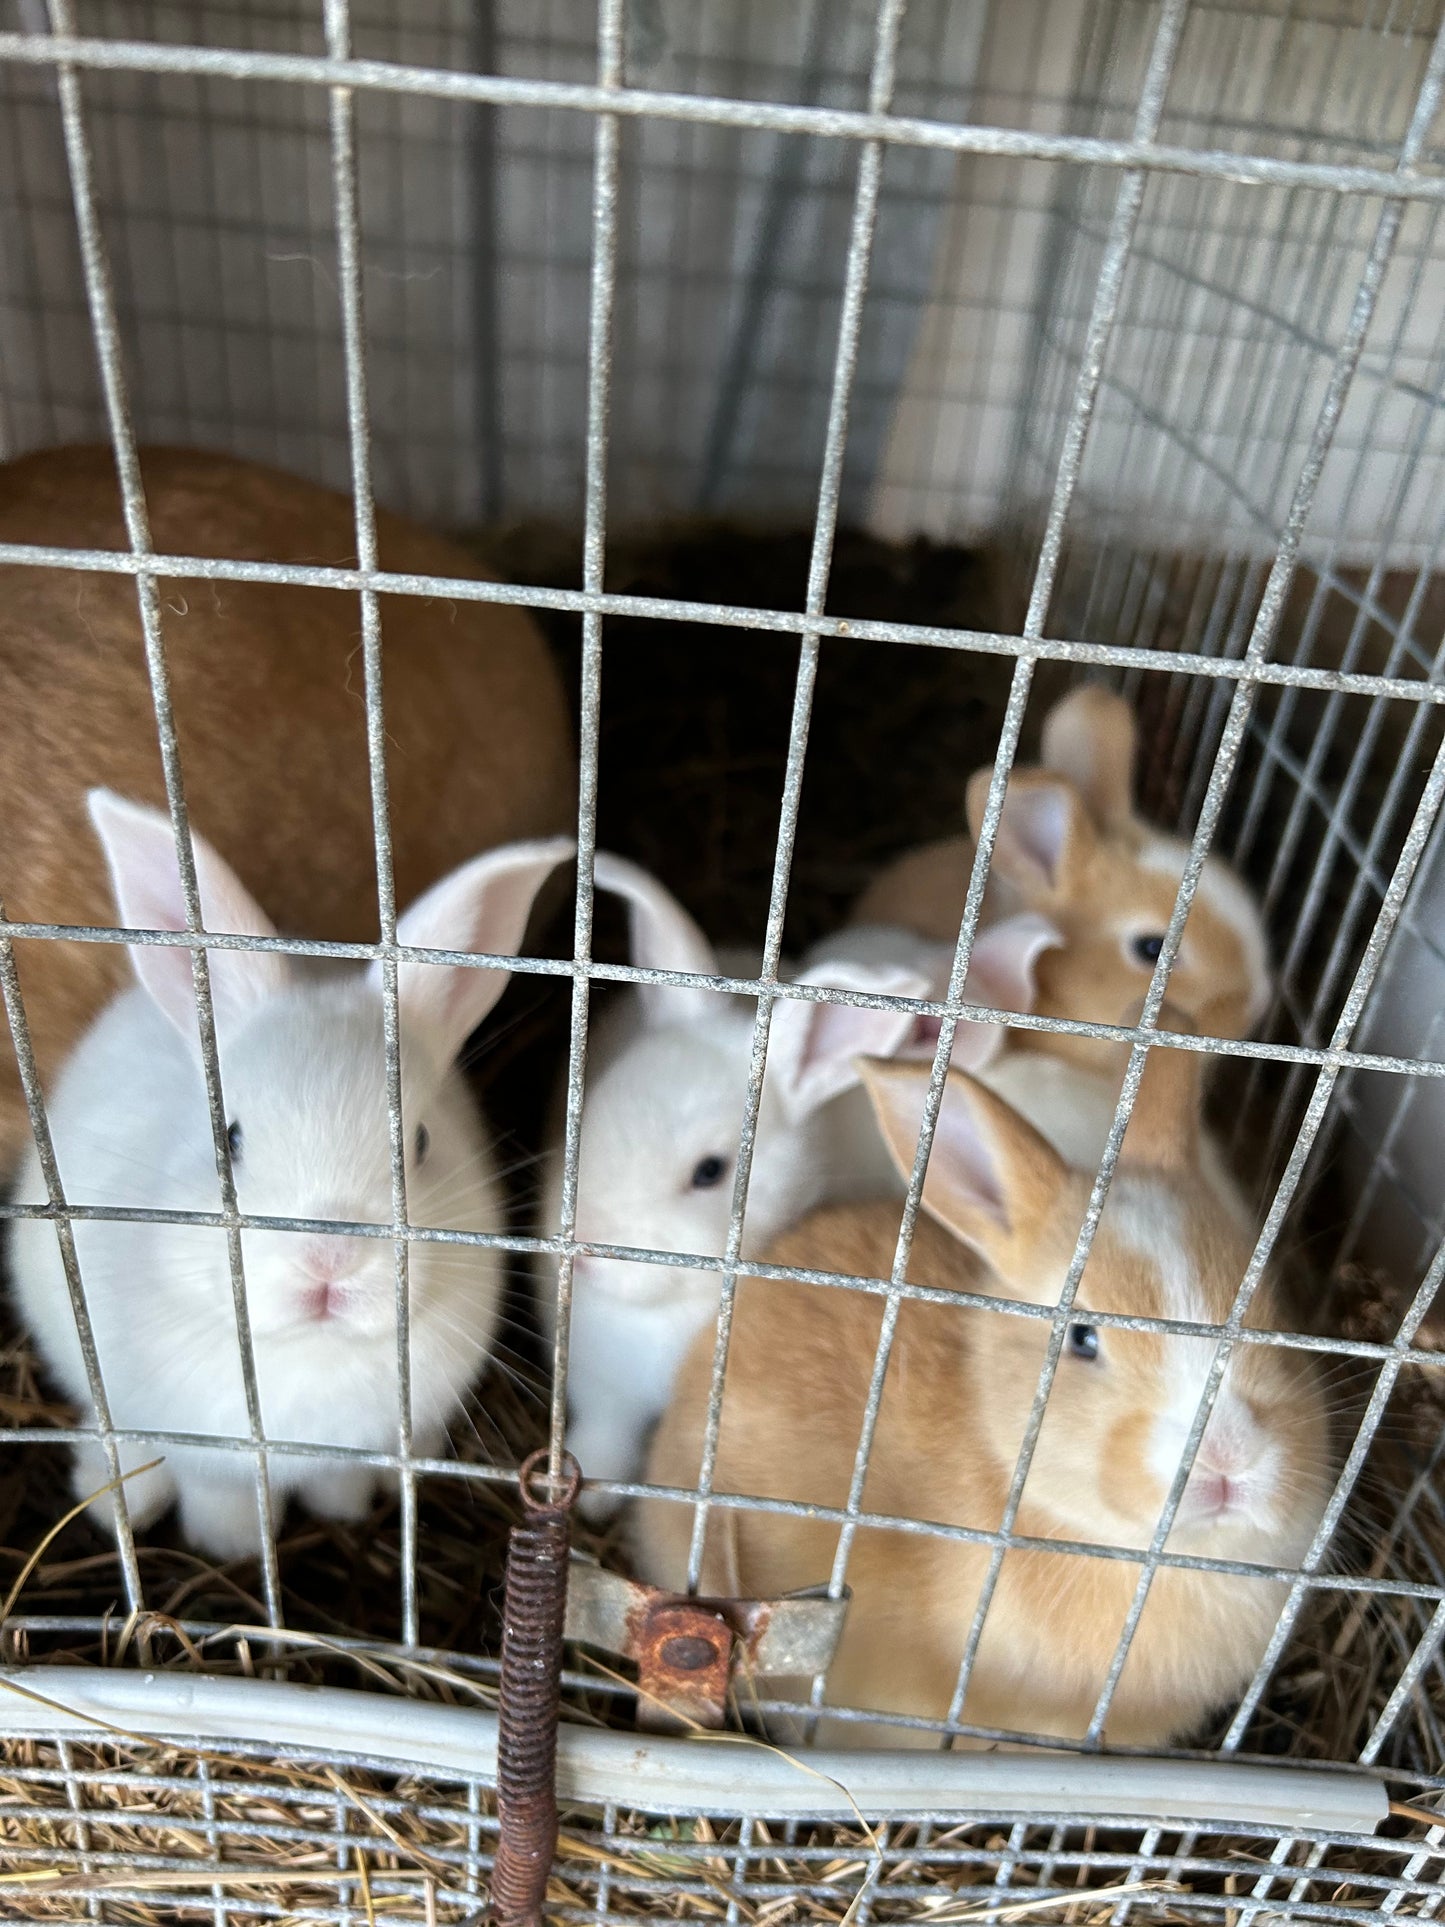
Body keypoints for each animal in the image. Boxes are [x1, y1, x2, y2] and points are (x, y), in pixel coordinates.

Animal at [6, 790, 575, 1563]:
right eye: (230, 1137)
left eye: (422, 1142)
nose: (327, 1261)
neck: (312, 1353)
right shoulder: (207, 1456)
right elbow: (220, 1500)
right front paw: (233, 1550)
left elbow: (337, 1484)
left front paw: (341, 1513)